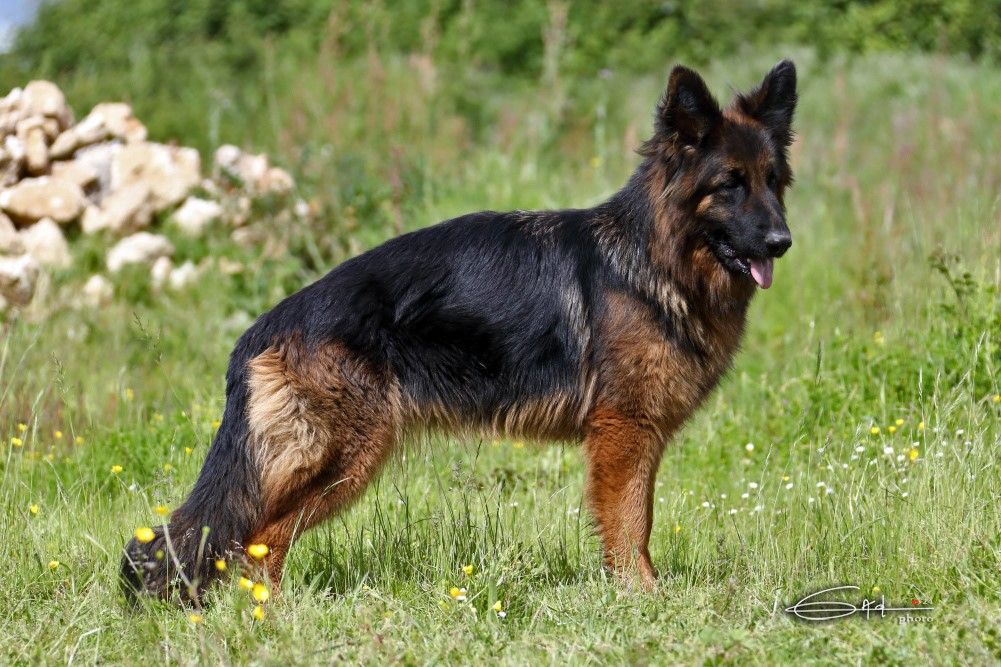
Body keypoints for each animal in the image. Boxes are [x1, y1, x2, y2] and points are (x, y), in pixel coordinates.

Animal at [122, 60, 796, 602]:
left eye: (773, 181)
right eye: (730, 184)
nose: (782, 242)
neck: (655, 258)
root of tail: (268, 323)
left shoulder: (637, 435)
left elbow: (638, 519)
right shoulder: (624, 432)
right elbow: (631, 523)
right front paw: (642, 598)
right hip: (342, 455)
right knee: (257, 537)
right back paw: (276, 615)